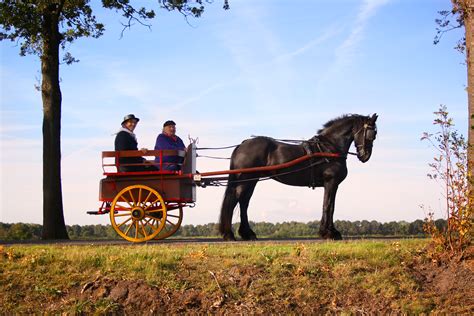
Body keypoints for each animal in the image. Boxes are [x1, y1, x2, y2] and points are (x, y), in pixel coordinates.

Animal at [218, 113, 378, 239]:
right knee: (236, 200)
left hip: (251, 180)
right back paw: (230, 234)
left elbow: (328, 205)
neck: (329, 148)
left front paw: (326, 231)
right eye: (371, 134)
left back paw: (247, 233)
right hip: (246, 180)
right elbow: (329, 206)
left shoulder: (330, 184)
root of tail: (242, 145)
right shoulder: (331, 182)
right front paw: (330, 233)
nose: (365, 156)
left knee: (244, 202)